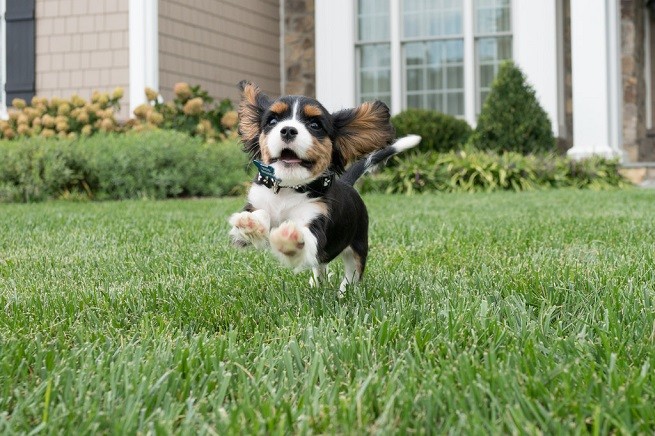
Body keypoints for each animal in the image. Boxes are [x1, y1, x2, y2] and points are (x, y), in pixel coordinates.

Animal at [228, 80, 420, 294]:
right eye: (272, 121)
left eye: (315, 125)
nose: (287, 130)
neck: (289, 188)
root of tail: (347, 183)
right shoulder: (257, 202)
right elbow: (257, 216)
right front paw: (251, 223)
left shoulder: (317, 222)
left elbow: (307, 239)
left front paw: (290, 237)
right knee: (320, 265)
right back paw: (317, 283)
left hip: (359, 243)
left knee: (353, 271)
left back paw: (344, 293)